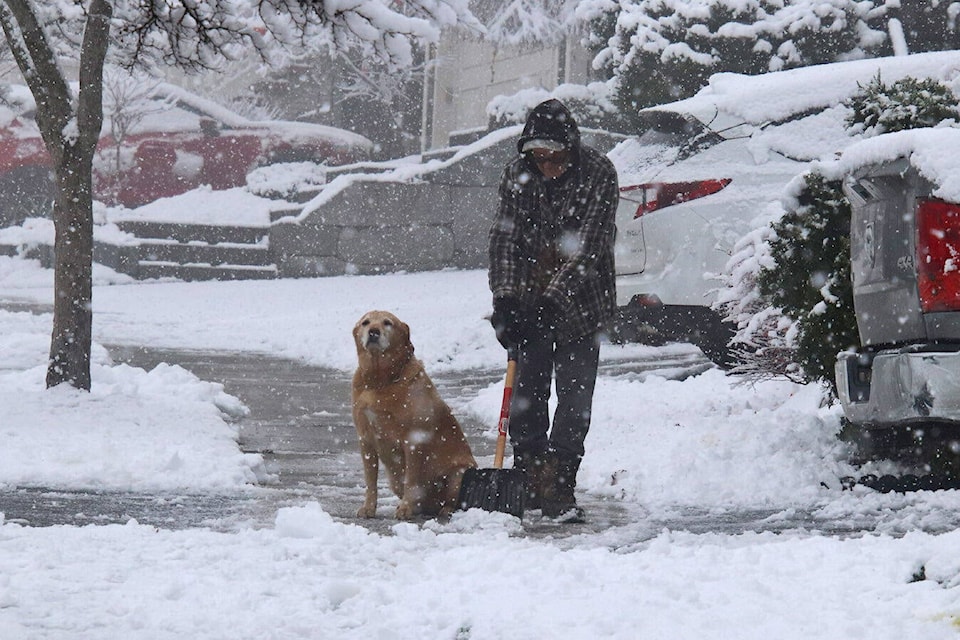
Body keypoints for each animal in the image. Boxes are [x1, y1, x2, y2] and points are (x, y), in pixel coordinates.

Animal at [348, 312, 476, 520]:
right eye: (365, 323)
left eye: (387, 323)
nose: (373, 332)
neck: (379, 381)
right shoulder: (365, 440)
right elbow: (370, 480)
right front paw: (368, 508)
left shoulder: (414, 440)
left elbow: (412, 480)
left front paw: (405, 509)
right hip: (395, 481)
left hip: (459, 473)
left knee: (452, 500)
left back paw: (444, 510)